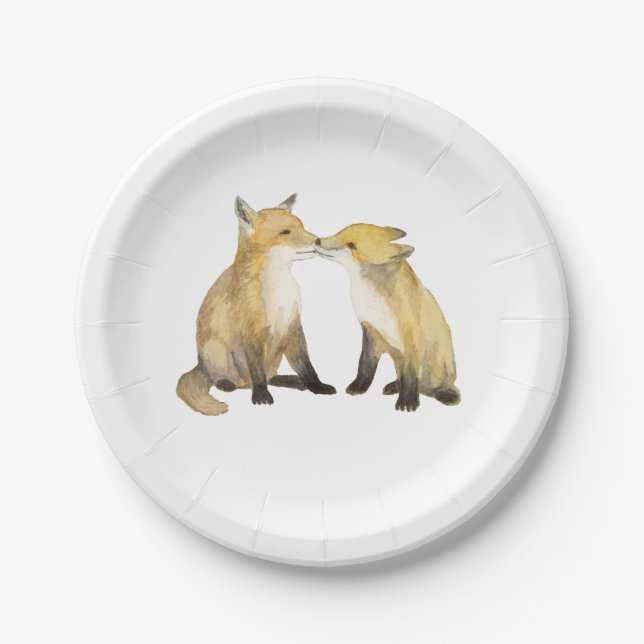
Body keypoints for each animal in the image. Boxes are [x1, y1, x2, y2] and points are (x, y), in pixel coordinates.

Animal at [177, 194, 336, 416]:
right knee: (230, 379)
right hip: (216, 350)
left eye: (302, 226)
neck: (278, 292)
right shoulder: (252, 331)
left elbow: (306, 366)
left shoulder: (292, 326)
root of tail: (199, 364)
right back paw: (227, 383)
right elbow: (257, 371)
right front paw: (261, 396)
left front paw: (317, 386)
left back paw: (290, 380)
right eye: (285, 232)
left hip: (275, 355)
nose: (318, 240)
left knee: (269, 376)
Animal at [315, 223, 460, 412]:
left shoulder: (411, 333)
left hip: (441, 367)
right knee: (407, 381)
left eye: (352, 245)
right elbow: (365, 365)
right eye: (340, 232)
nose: (317, 240)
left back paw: (440, 393)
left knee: (432, 387)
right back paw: (395, 386)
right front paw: (359, 387)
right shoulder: (371, 330)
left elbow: (410, 374)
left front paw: (407, 402)